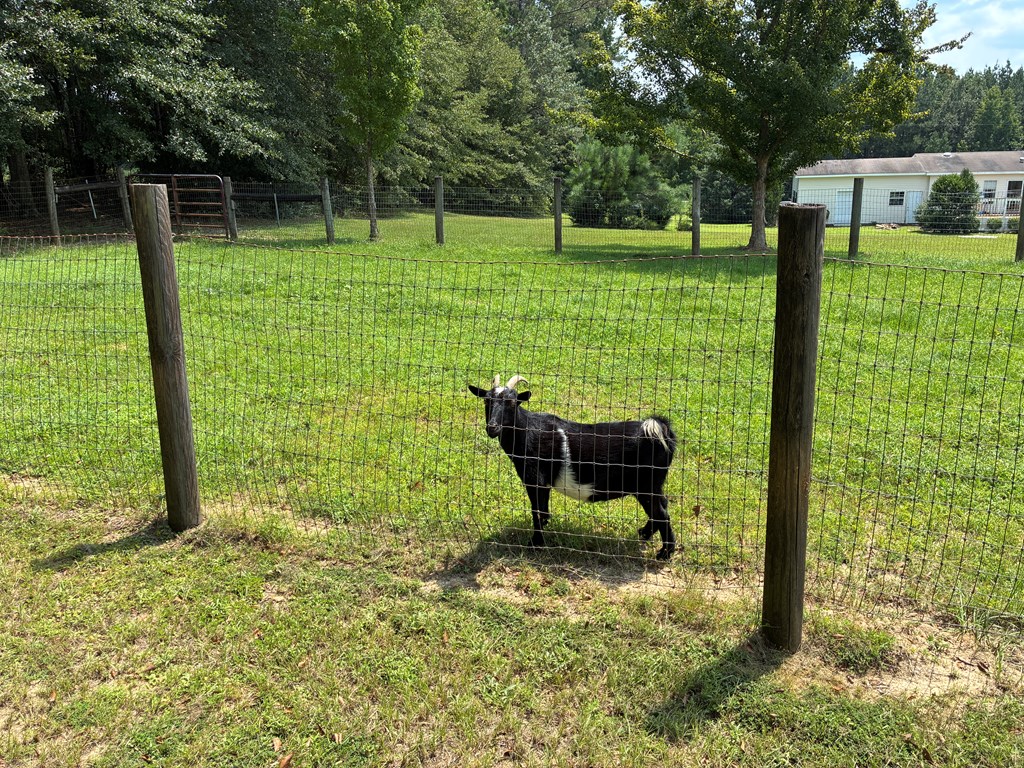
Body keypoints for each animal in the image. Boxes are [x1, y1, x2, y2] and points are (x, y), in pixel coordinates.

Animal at [468, 375, 677, 560]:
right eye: (486, 401)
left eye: (512, 403)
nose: (492, 428)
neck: (528, 431)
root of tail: (660, 428)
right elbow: (543, 512)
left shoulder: (535, 480)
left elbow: (538, 512)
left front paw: (535, 544)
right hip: (653, 484)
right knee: (662, 505)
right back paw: (644, 533)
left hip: (646, 484)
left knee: (661, 513)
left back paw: (664, 554)